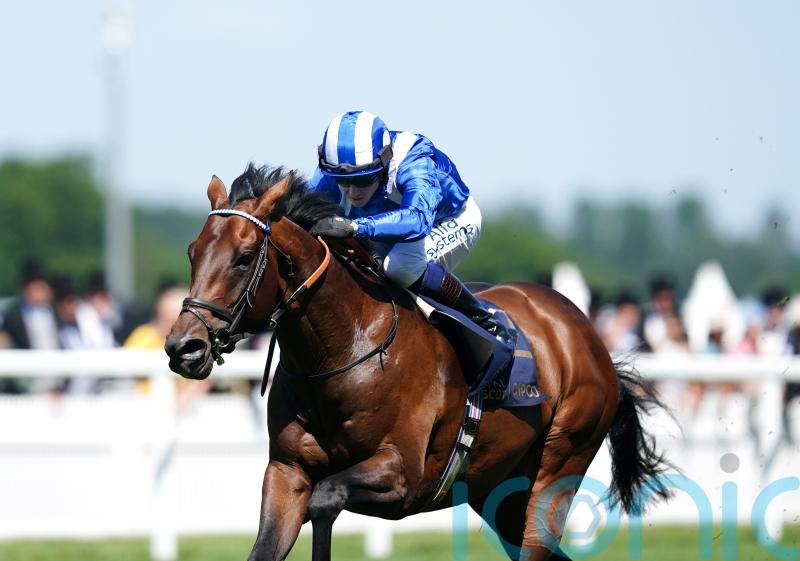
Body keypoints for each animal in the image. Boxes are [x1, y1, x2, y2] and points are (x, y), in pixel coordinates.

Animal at [165, 164, 671, 561]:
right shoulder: (286, 473)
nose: (183, 347)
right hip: (499, 491)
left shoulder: (403, 476)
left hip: (558, 466)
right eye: (193, 251)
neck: (343, 350)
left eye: (245, 257)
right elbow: (273, 540)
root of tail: (586, 335)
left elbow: (325, 501)